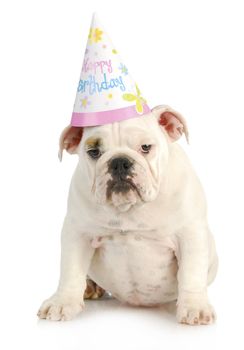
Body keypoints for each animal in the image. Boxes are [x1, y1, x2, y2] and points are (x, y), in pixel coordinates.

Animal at [37, 104, 217, 326]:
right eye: (94, 152)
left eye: (146, 147)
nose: (119, 161)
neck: (128, 208)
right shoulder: (77, 234)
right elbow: (71, 271)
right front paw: (62, 302)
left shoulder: (190, 234)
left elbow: (191, 273)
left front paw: (194, 307)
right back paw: (91, 286)